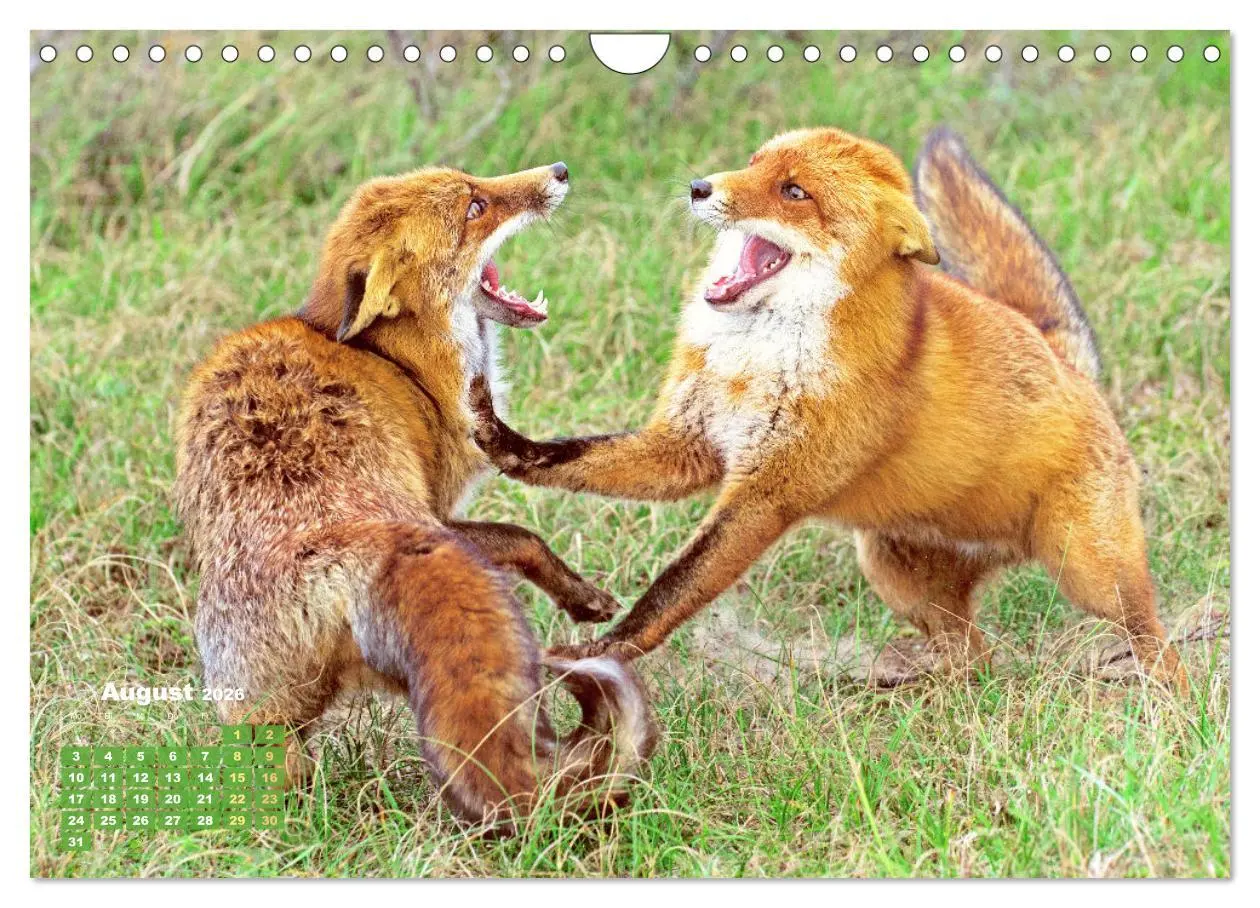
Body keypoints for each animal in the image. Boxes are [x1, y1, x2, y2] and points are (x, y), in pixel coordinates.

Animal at [173, 161, 656, 830]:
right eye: (476, 206)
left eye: (476, 179)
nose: (559, 171)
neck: (400, 364)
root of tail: (338, 540)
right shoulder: (443, 510)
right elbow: (525, 538)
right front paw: (583, 598)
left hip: (262, 723)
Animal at [471, 126, 1188, 693]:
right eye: (753, 163)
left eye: (795, 193)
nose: (700, 186)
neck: (754, 360)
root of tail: (1066, 360)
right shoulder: (688, 447)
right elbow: (571, 457)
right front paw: (505, 442)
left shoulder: (769, 493)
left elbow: (675, 585)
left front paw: (604, 651)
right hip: (896, 575)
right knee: (975, 659)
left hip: (1088, 570)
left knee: (1156, 639)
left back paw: (1173, 714)